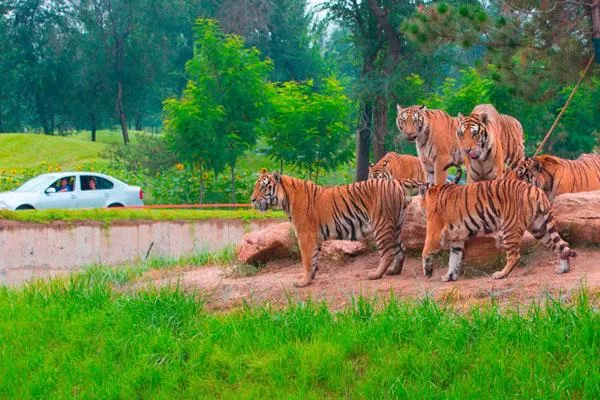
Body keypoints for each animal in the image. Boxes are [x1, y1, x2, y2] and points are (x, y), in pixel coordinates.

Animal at [251, 172, 414, 288]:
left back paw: (376, 274)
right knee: (401, 248)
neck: (286, 199)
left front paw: (303, 282)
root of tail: (397, 185)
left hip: (381, 225)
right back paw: (394, 271)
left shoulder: (305, 234)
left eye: (263, 187)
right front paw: (311, 277)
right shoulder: (314, 236)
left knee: (388, 252)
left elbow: (307, 259)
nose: (252, 200)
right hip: (396, 226)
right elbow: (314, 258)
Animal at [418, 179, 576, 282]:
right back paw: (563, 269)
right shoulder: (458, 238)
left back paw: (501, 274)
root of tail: (535, 190)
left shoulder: (434, 233)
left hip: (510, 228)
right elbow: (454, 258)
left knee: (514, 256)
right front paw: (449, 277)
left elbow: (425, 251)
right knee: (562, 245)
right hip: (540, 228)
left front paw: (427, 271)